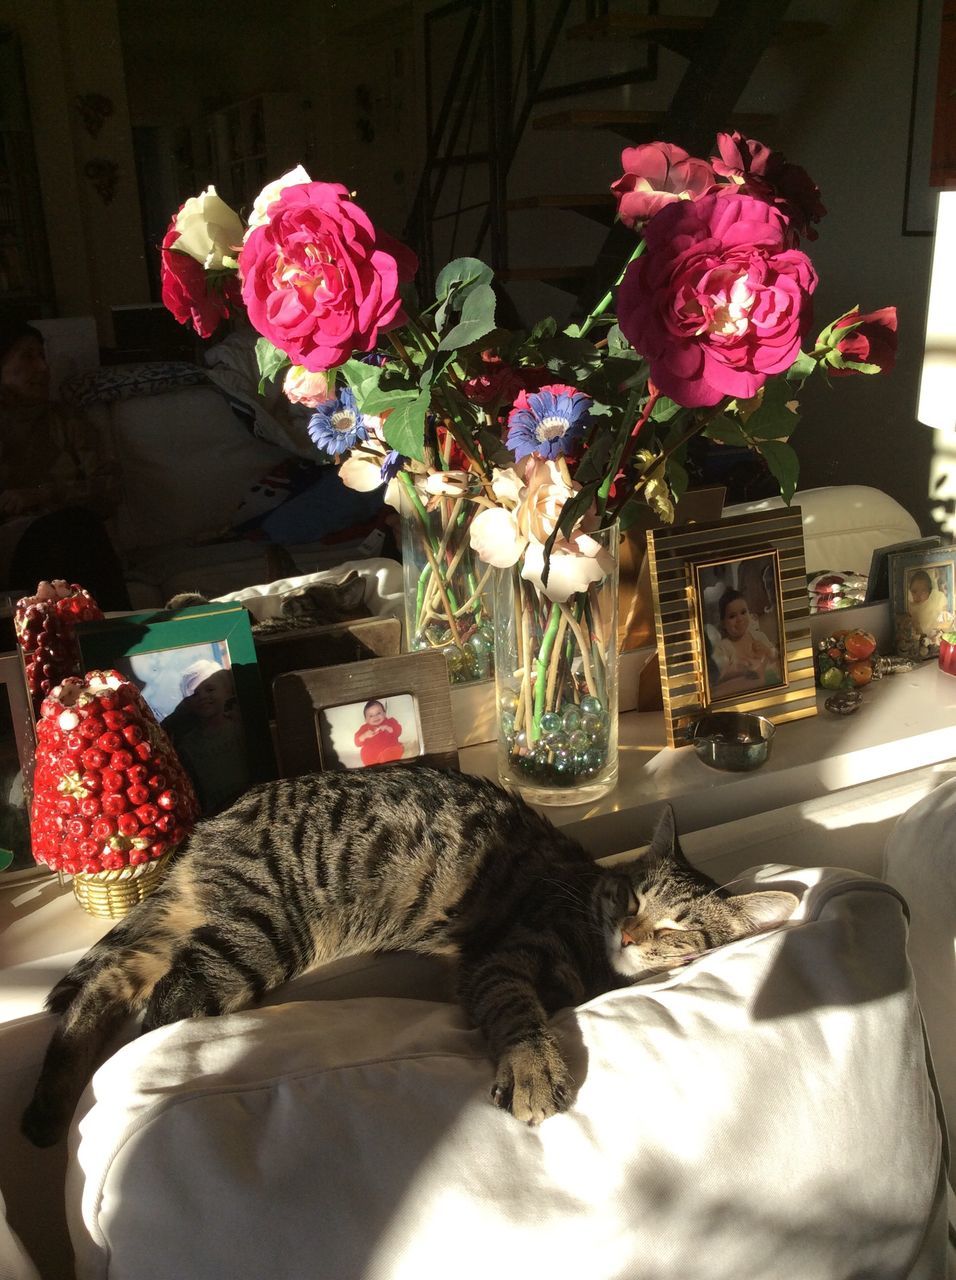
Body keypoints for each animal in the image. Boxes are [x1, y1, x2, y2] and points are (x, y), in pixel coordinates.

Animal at [24, 762, 798, 1146]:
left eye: (677, 927)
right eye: (632, 898)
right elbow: (518, 1013)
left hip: (207, 929)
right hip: (257, 938)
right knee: (157, 1008)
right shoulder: (502, 960)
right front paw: (533, 1066)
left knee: (110, 981)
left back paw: (45, 1110)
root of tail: (207, 827)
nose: (634, 935)